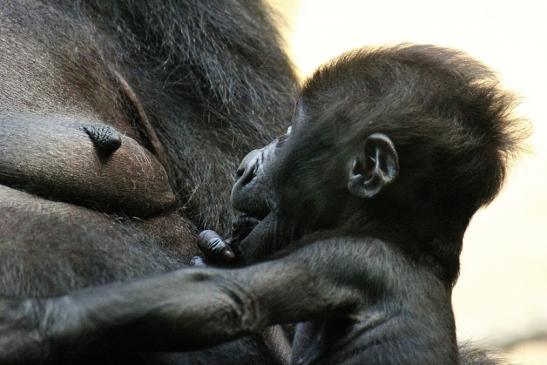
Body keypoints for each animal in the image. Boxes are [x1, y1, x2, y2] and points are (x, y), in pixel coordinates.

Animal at [198, 45, 524, 364]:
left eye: (285, 139)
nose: (245, 168)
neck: (396, 235)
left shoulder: (342, 258)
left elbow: (236, 300)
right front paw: (218, 248)